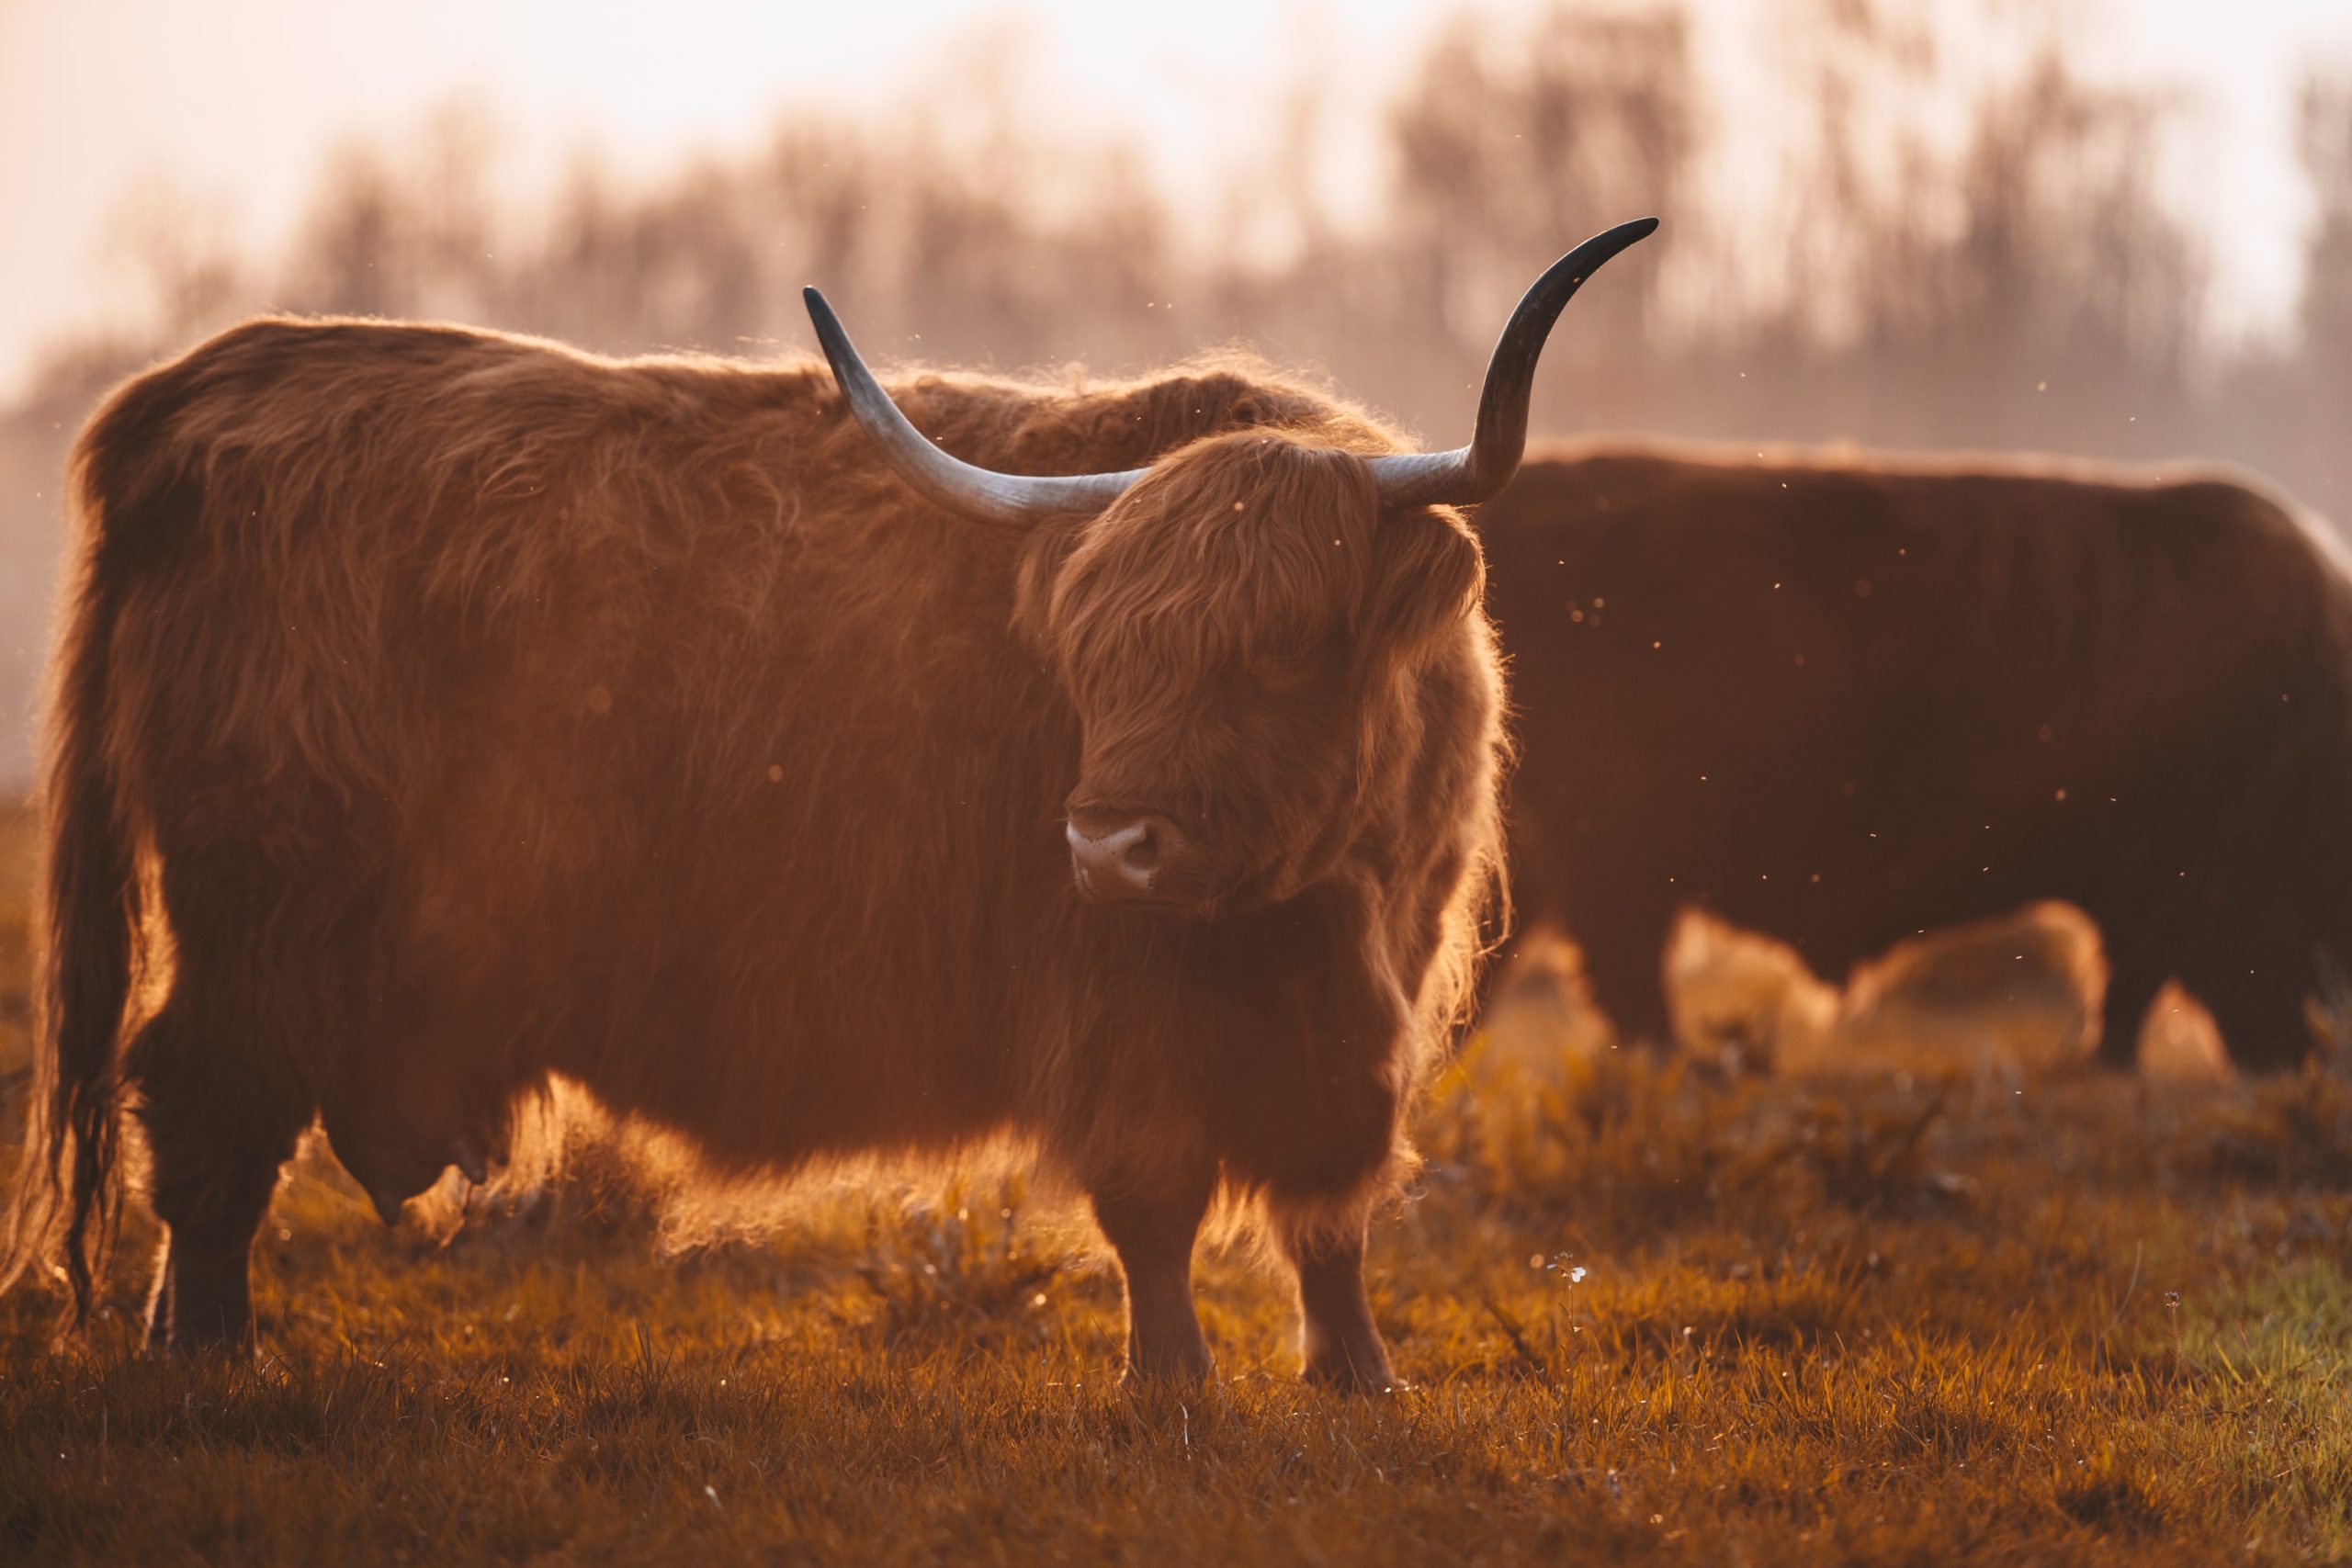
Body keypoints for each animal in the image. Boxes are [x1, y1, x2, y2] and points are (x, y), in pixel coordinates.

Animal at [5, 220, 1656, 1382]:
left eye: (1280, 644)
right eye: (1097, 655)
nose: (1107, 840)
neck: (1306, 912)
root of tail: (212, 384)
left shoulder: (1374, 1003)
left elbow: (1332, 1210)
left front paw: (1358, 1377)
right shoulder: (1109, 1007)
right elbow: (1156, 1196)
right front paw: (1170, 1383)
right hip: (258, 911)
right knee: (202, 1106)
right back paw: (207, 1346)